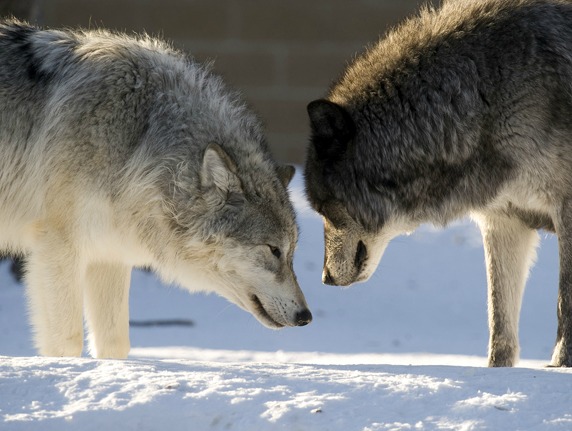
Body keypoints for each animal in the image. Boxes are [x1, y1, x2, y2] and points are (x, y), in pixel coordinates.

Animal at [0, 19, 310, 358]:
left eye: (291, 253)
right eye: (273, 250)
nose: (306, 316)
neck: (137, 141)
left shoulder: (108, 254)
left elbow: (115, 344)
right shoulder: (58, 248)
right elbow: (68, 342)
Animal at [306, 0, 572, 368]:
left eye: (322, 208)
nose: (325, 279)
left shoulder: (565, 207)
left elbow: (564, 303)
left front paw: (560, 365)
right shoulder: (503, 221)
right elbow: (500, 323)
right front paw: (497, 373)